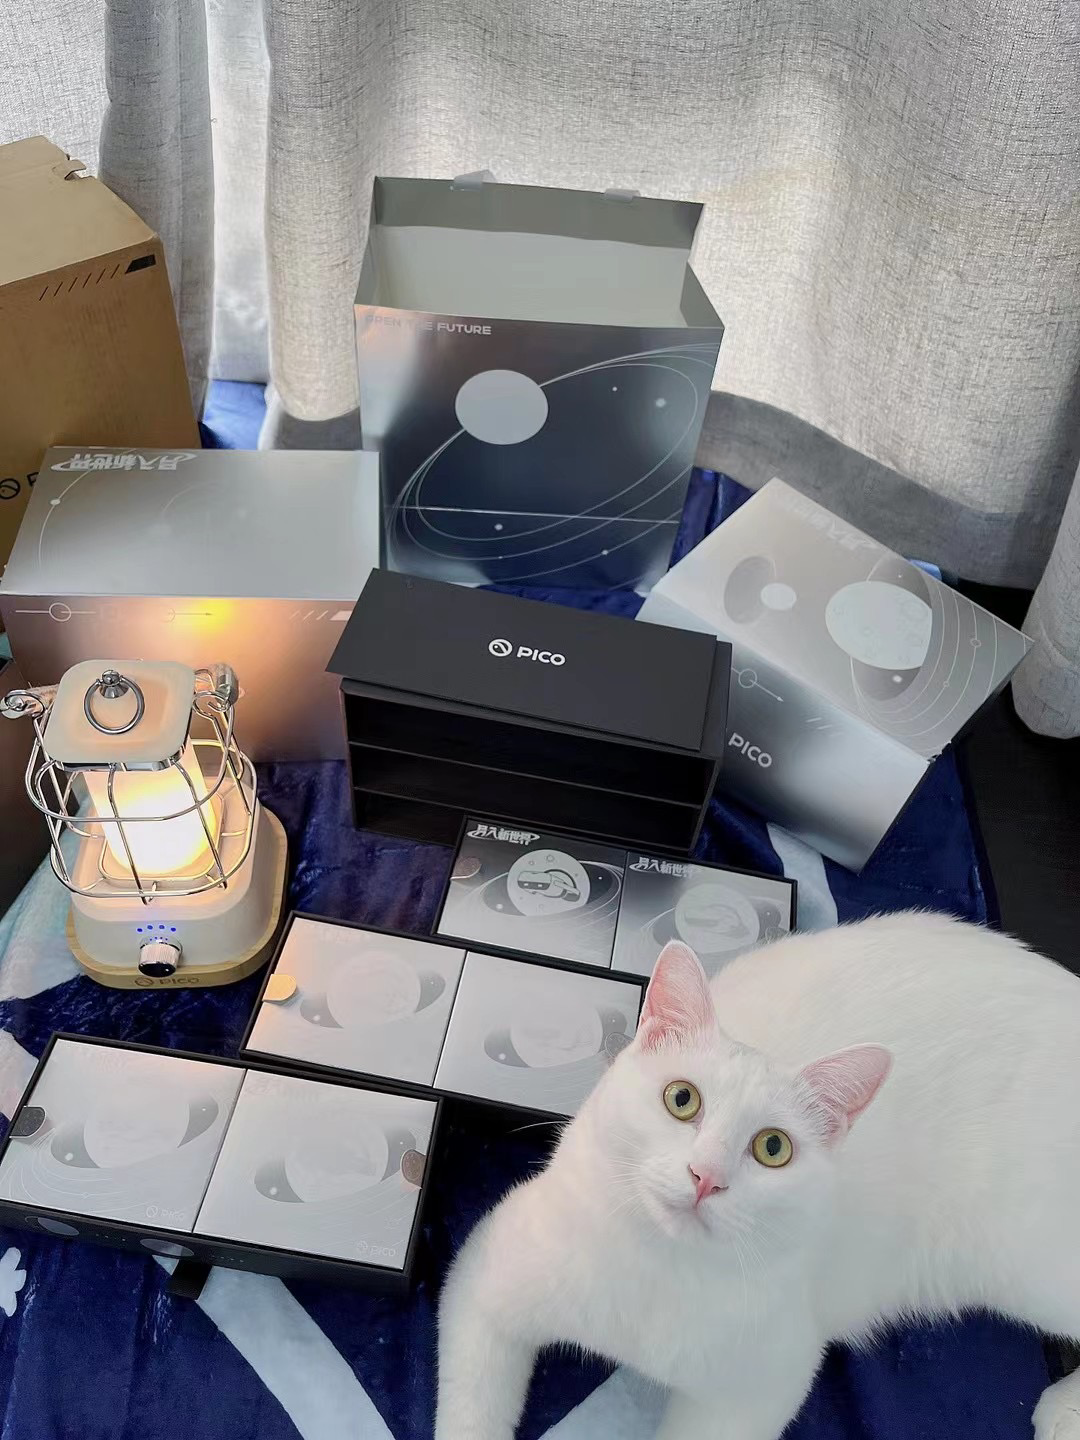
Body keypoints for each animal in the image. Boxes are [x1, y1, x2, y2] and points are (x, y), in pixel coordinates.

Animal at [436, 913, 1080, 1440]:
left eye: (773, 1148)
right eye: (681, 1099)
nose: (706, 1176)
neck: (660, 1272)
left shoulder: (760, 1390)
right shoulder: (487, 1274)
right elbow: (470, 1415)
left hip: (1032, 1262)